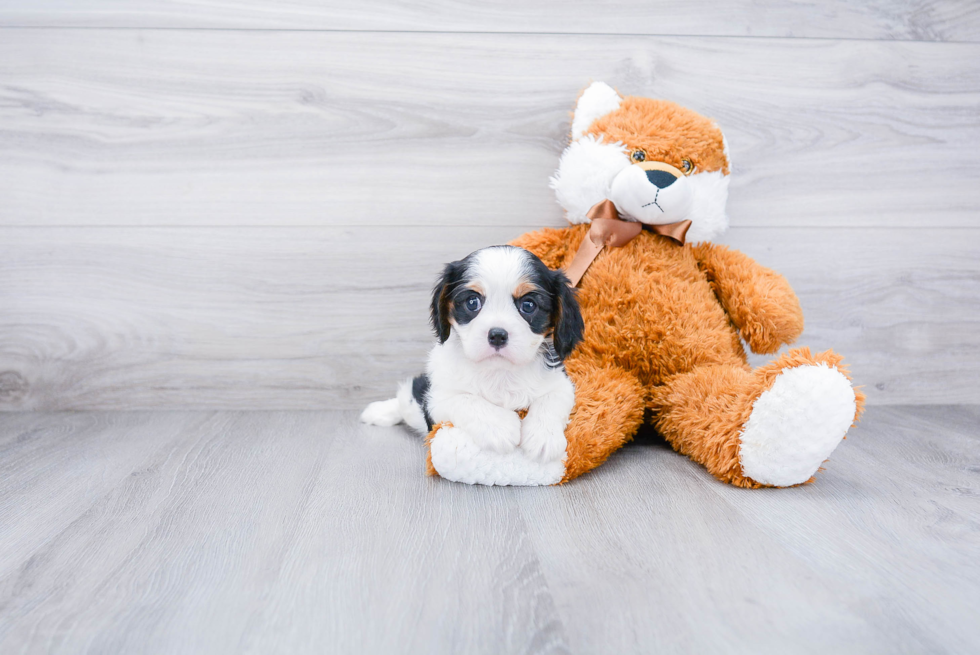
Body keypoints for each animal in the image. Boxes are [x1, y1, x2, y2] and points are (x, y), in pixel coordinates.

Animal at [364, 243, 584, 464]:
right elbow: (466, 400)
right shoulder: (436, 399)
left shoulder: (560, 383)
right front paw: (501, 426)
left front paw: (543, 437)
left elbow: (551, 400)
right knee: (405, 398)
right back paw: (378, 412)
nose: (497, 335)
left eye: (528, 305)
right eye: (472, 302)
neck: (499, 372)